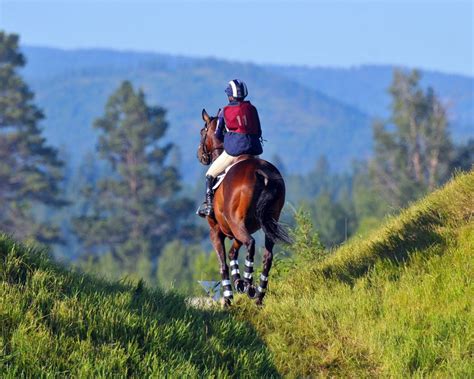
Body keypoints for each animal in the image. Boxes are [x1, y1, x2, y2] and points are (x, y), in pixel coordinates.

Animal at [195, 109, 288, 306]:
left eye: (202, 131)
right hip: (268, 222)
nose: (200, 155)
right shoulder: (236, 231)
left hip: (236, 223)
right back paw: (258, 295)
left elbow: (223, 263)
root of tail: (261, 172)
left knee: (251, 244)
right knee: (267, 256)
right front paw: (237, 281)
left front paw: (228, 297)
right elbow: (232, 254)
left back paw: (249, 285)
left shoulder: (216, 231)